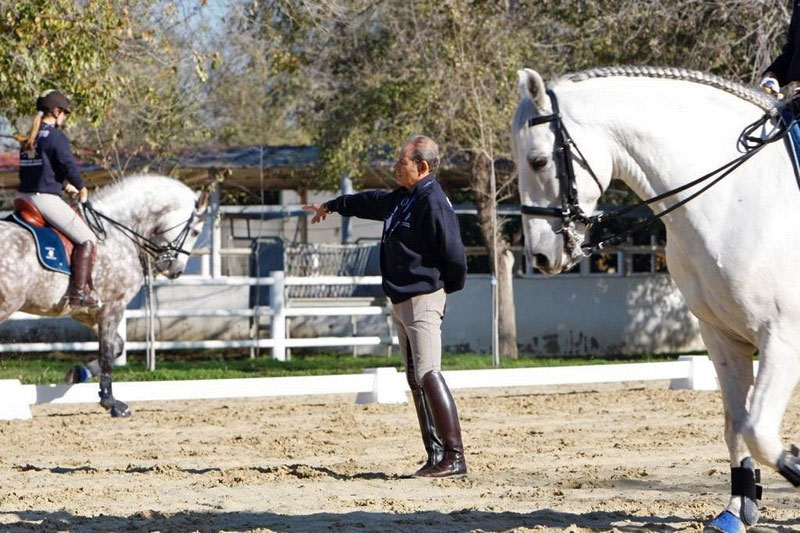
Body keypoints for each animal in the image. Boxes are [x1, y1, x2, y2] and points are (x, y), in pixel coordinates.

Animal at [512, 67, 800, 532]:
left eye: (538, 161)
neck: (736, 200)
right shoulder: (721, 336)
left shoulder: (784, 337)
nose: (539, 256)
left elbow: (758, 430)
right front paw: (738, 511)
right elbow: (738, 425)